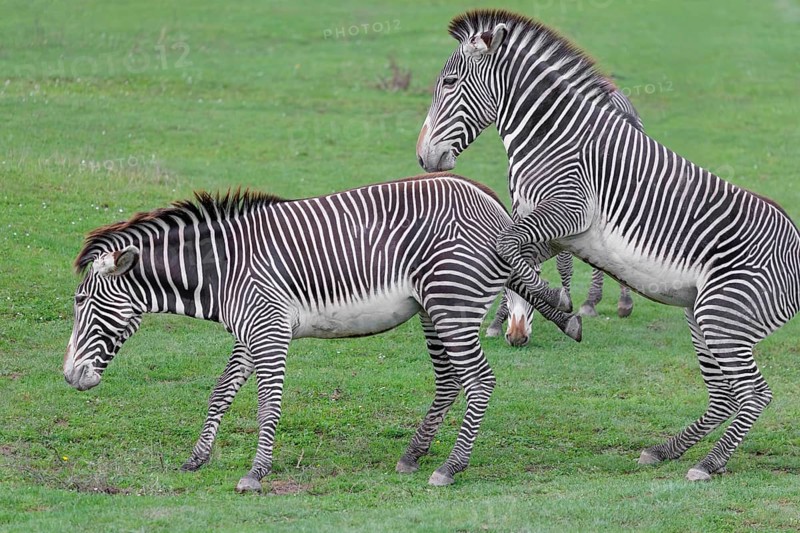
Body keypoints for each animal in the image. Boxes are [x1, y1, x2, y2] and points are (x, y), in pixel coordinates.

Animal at [63, 174, 582, 492]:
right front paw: (197, 457)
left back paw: (450, 467)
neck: (222, 269)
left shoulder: (269, 329)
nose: (69, 378)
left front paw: (255, 473)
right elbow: (222, 392)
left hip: (452, 304)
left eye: (82, 302)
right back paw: (413, 455)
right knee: (451, 380)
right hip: (434, 309)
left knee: (480, 381)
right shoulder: (248, 331)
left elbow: (267, 403)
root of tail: (495, 206)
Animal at [416, 9, 800, 480]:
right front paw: (554, 315)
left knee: (755, 393)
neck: (552, 136)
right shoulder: (552, 231)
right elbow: (512, 261)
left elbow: (510, 249)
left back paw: (708, 463)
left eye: (449, 82)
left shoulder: (568, 211)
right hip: (703, 315)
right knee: (725, 394)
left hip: (723, 316)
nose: (423, 158)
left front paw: (559, 304)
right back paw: (665, 450)